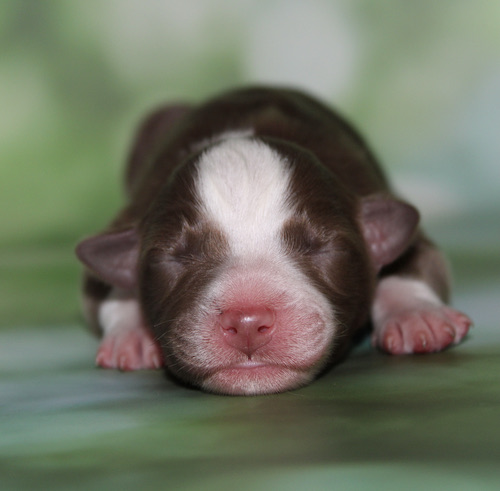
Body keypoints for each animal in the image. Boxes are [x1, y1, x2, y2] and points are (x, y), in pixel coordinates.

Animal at [76, 87, 472, 395]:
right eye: (175, 258)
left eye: (320, 246)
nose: (247, 322)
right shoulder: (130, 214)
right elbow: (102, 285)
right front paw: (132, 334)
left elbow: (414, 256)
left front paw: (416, 315)